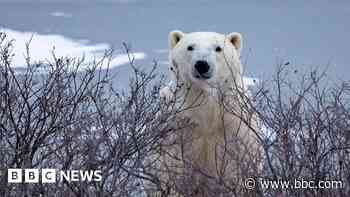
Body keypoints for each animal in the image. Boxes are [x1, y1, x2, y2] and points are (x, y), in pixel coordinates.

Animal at [155, 30, 260, 196]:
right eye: (190, 47)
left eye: (218, 48)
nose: (202, 64)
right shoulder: (177, 123)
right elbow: (169, 161)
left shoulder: (235, 122)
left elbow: (237, 162)